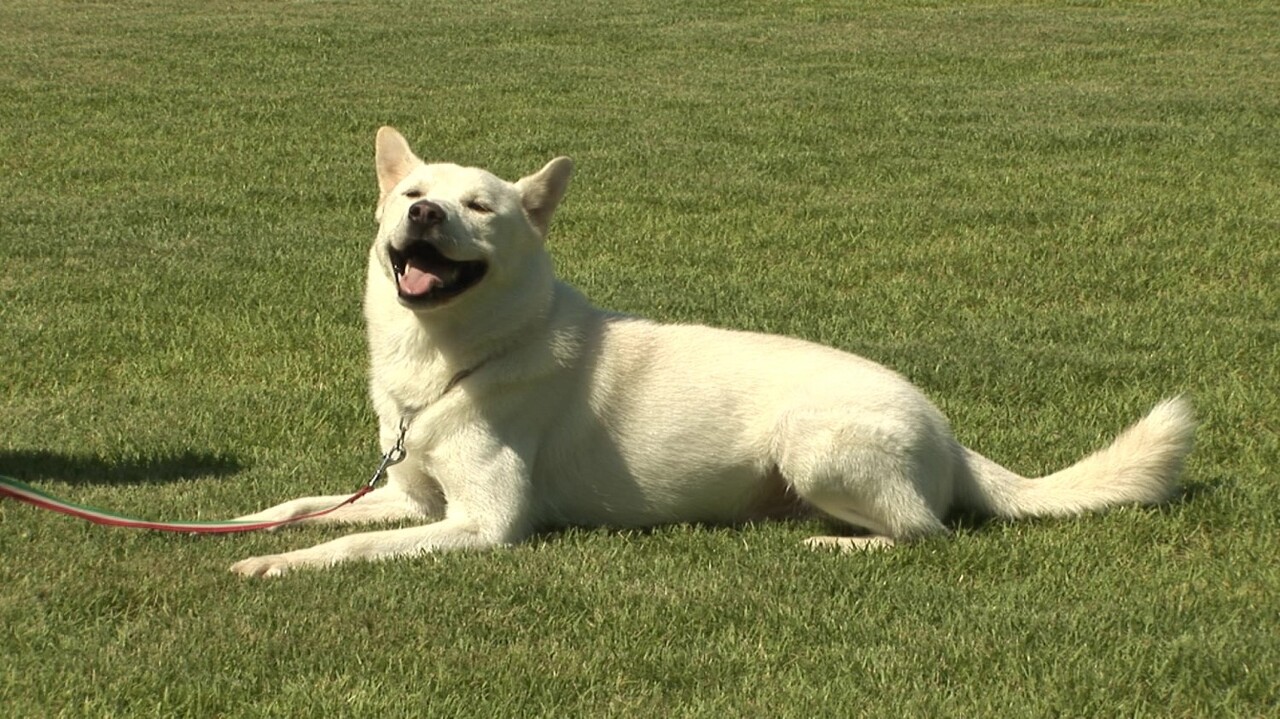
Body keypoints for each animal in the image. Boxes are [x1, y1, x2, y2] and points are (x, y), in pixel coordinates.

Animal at [227, 127, 1187, 575]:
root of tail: (949, 432)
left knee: (926, 532)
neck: (451, 359)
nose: (423, 213)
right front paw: (247, 527)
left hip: (812, 439)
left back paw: (835, 546)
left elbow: (346, 548)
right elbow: (302, 505)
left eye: (481, 207)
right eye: (415, 196)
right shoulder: (412, 499)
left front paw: (278, 563)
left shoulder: (482, 525)